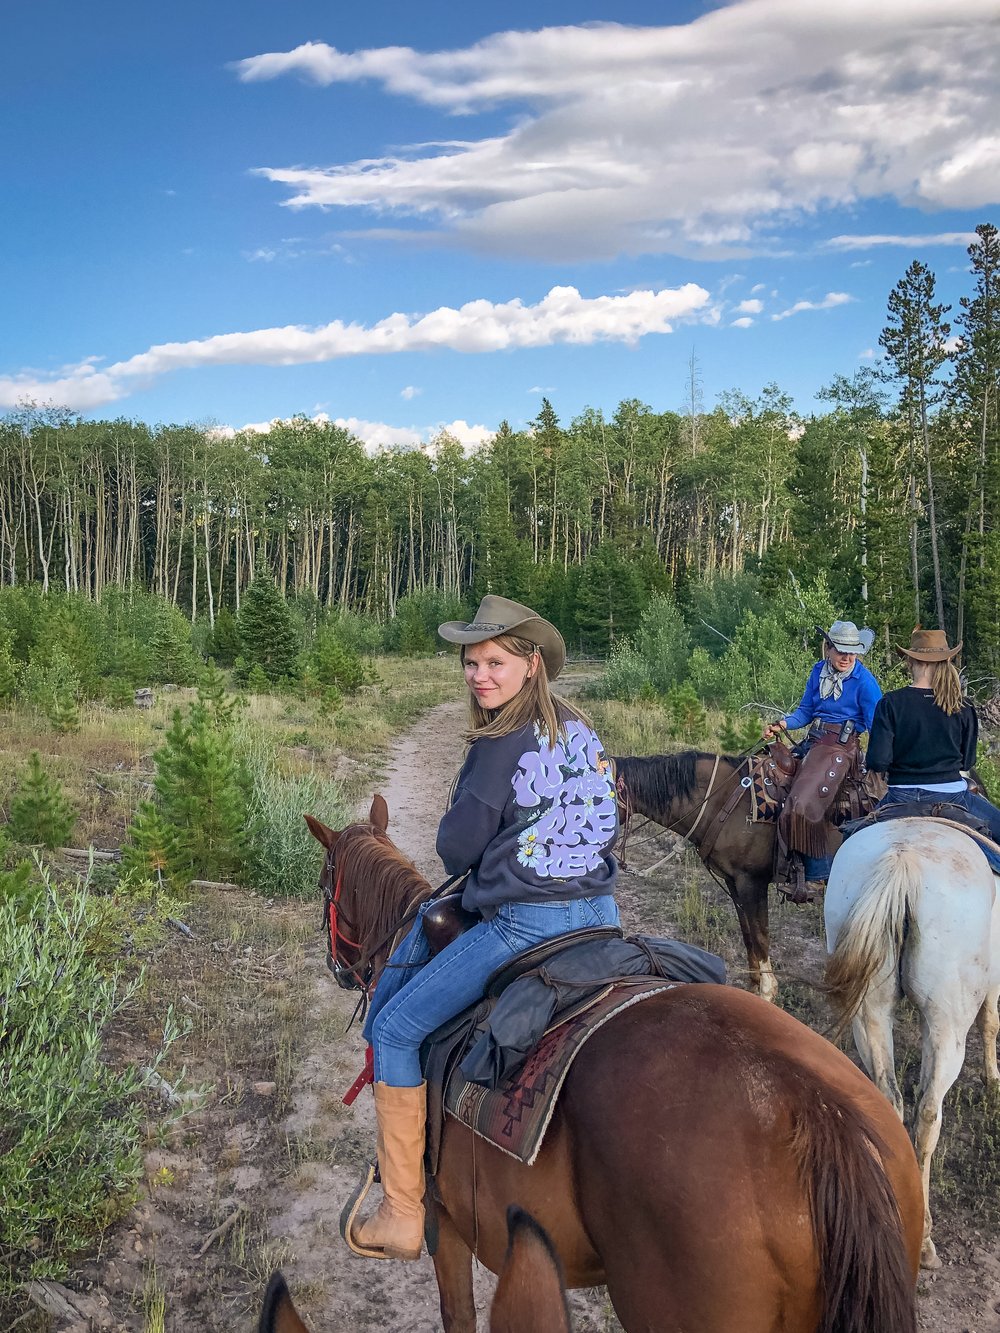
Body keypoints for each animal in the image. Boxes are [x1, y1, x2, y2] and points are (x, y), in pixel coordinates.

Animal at [826, 815, 997, 1263]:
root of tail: (903, 863)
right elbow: (991, 1021)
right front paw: (993, 1079)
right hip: (947, 1026)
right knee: (927, 1115)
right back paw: (924, 1240)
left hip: (870, 1010)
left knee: (889, 1101)